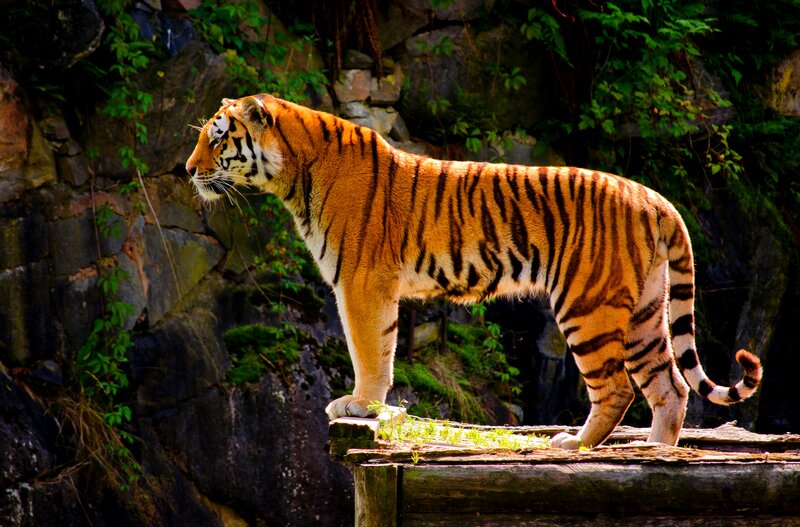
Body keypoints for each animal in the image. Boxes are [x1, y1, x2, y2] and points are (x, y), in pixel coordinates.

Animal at [185, 94, 762, 449]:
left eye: (217, 139)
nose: (188, 170)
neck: (294, 174)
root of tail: (654, 198)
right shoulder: (370, 284)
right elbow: (382, 347)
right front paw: (368, 404)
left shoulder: (361, 282)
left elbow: (369, 348)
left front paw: (360, 405)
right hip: (644, 309)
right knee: (671, 387)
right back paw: (656, 450)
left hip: (587, 305)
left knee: (619, 388)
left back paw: (574, 443)